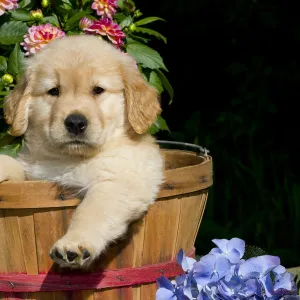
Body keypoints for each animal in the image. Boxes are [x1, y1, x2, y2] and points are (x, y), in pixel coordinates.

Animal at [0, 34, 164, 268]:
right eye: (54, 91)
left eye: (98, 90)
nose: (76, 123)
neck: (71, 159)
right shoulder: (33, 176)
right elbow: (12, 163)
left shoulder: (120, 182)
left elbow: (91, 211)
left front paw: (73, 243)